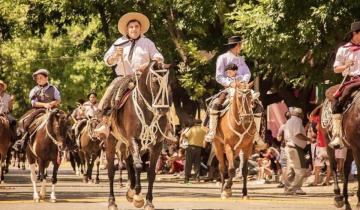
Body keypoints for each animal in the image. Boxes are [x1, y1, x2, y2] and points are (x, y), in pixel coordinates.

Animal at [105, 61, 172, 210]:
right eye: (154, 80)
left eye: (168, 82)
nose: (163, 108)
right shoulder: (133, 139)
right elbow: (138, 166)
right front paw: (138, 197)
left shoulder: (157, 144)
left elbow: (151, 172)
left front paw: (148, 201)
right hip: (112, 140)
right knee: (112, 170)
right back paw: (112, 201)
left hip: (128, 144)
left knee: (128, 161)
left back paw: (130, 191)